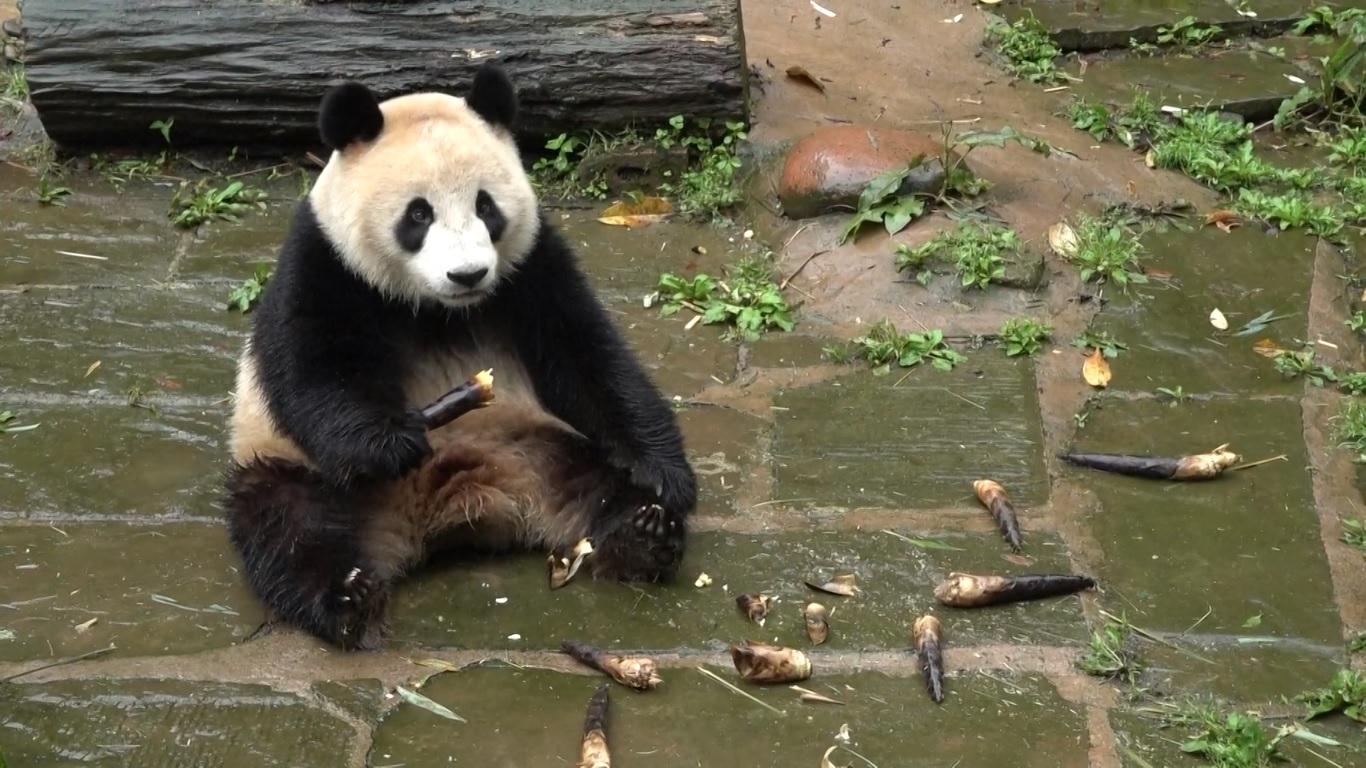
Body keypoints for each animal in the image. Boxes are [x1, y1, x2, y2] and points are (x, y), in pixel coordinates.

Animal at [222, 62, 698, 651]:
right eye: (418, 214)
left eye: (485, 206)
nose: (468, 274)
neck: (436, 308)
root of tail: (451, 507)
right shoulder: (324, 260)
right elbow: (312, 367)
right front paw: (389, 443)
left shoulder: (530, 266)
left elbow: (589, 356)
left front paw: (665, 474)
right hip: (295, 468)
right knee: (286, 525)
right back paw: (347, 597)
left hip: (534, 445)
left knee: (597, 483)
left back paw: (643, 533)